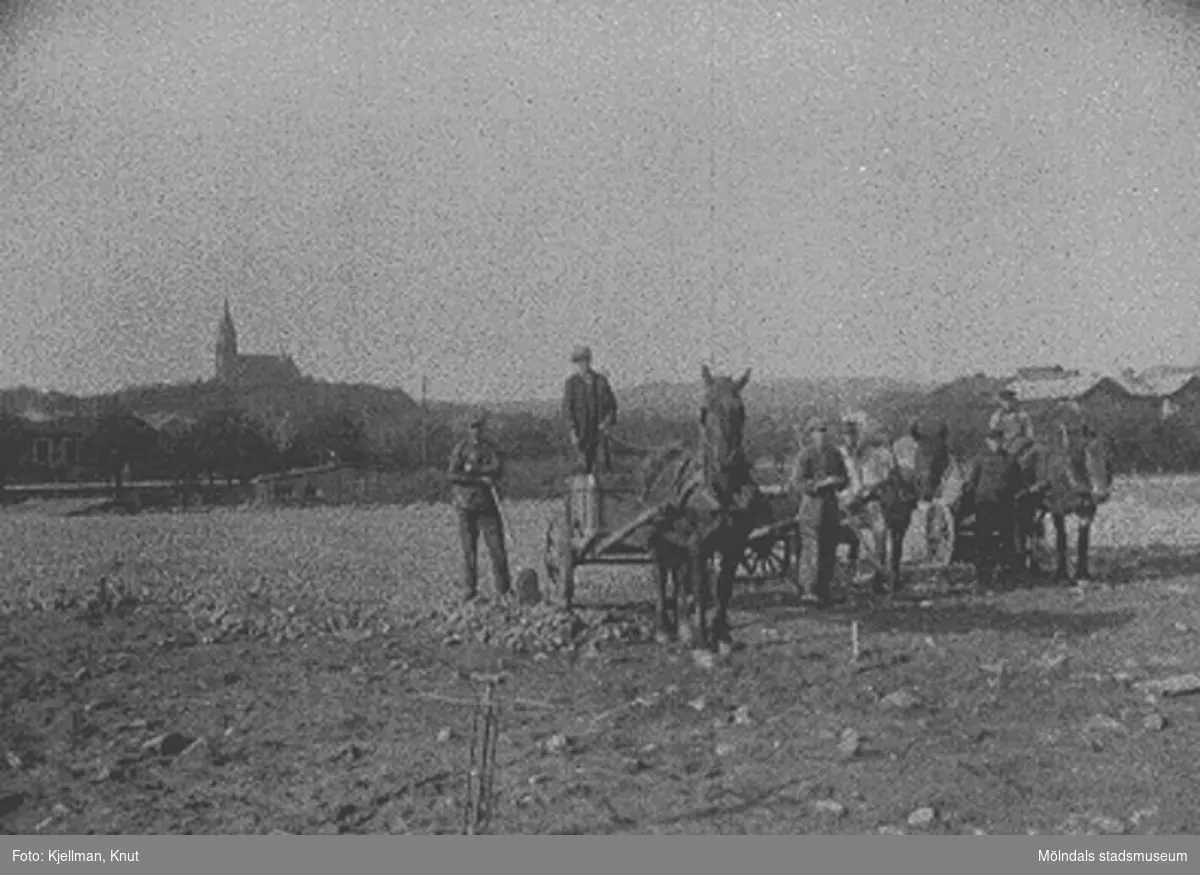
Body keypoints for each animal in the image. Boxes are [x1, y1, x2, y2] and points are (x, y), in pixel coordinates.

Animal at [638, 362, 758, 652]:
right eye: (704, 411)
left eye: (741, 410)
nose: (727, 461)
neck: (722, 492)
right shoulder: (698, 545)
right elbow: (701, 587)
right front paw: (703, 640)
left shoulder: (735, 544)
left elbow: (724, 587)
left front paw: (722, 635)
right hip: (656, 538)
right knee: (660, 575)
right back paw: (663, 629)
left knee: (679, 578)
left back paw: (683, 629)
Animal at [1012, 422, 1113, 580]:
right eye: (1087, 454)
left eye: (1111, 455)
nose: (1101, 494)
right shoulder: (1057, 510)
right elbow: (1062, 540)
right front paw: (1061, 574)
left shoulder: (1087, 512)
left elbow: (1083, 541)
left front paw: (1083, 574)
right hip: (1026, 506)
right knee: (1024, 530)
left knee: (1034, 529)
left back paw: (1035, 567)